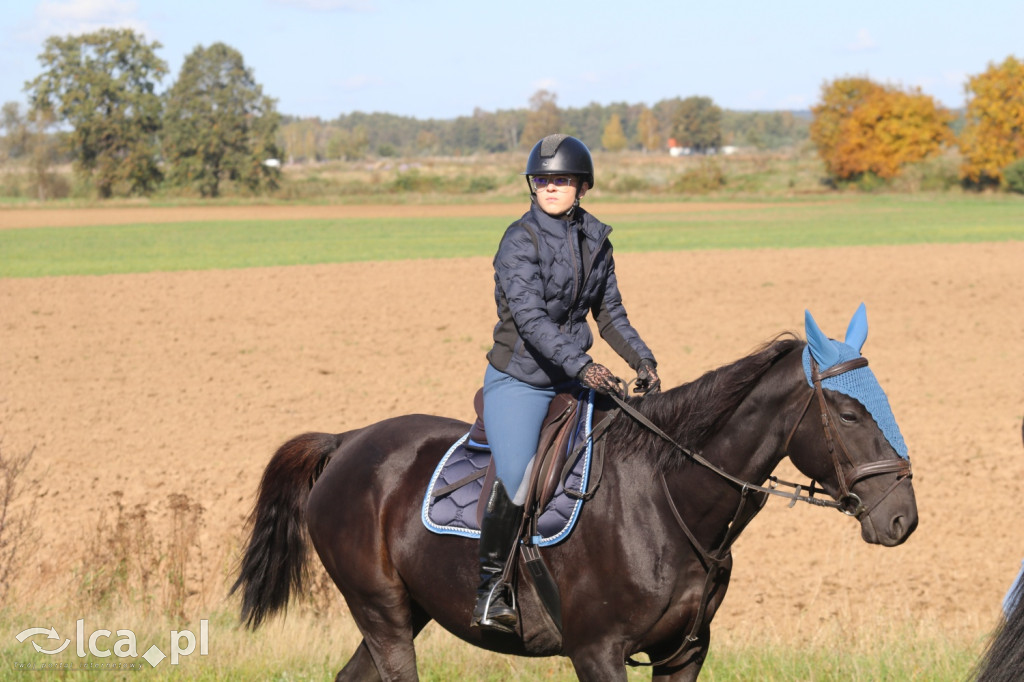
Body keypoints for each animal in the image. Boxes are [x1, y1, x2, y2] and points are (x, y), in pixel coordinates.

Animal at [234, 307, 921, 679]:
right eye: (849, 413)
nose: (902, 519)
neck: (668, 501)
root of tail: (349, 441)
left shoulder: (683, 655)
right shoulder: (598, 653)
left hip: (406, 611)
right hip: (382, 612)